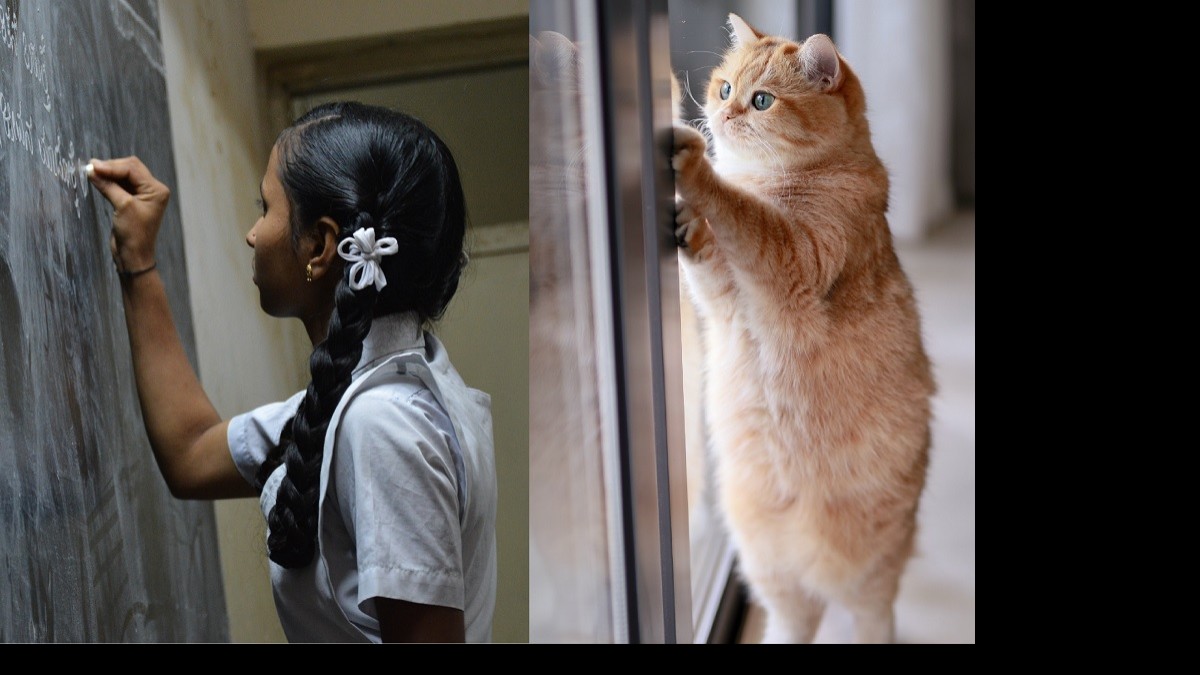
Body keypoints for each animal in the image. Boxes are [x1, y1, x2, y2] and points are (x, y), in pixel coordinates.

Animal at [676, 13, 936, 638]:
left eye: (761, 100)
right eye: (725, 88)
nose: (723, 115)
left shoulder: (791, 259)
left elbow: (741, 212)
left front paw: (695, 168)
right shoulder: (725, 302)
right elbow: (710, 261)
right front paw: (690, 227)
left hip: (871, 583)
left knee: (873, 618)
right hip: (771, 574)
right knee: (791, 621)